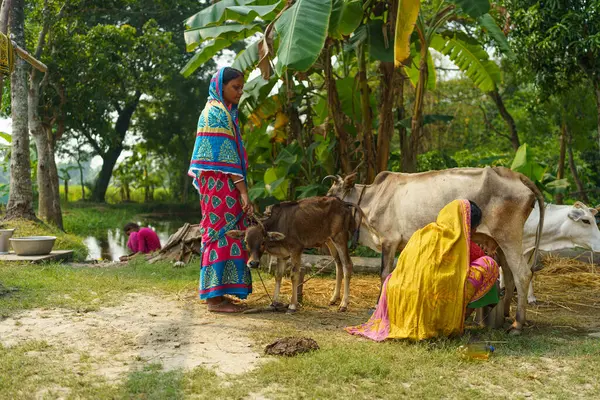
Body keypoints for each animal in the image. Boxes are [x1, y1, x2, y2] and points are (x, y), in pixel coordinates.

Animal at [226, 197, 360, 312]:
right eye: (245, 242)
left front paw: (292, 305)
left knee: (347, 264)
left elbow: (293, 275)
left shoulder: (296, 249)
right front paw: (274, 302)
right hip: (329, 240)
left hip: (340, 236)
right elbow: (278, 275)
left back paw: (343, 304)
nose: (253, 263)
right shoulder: (282, 255)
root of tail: (344, 203)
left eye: (263, 242)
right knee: (338, 263)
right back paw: (334, 299)